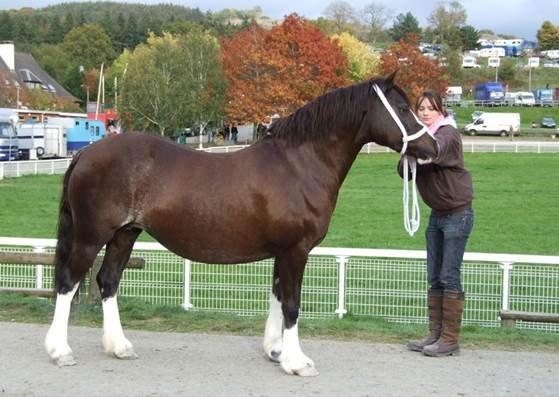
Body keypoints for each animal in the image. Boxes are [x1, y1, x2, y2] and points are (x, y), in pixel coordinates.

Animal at [44, 74, 438, 374]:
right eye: (404, 109)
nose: (432, 148)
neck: (298, 165)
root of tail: (86, 152)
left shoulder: (283, 252)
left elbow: (277, 296)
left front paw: (275, 351)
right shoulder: (296, 251)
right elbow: (292, 304)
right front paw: (297, 362)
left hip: (124, 235)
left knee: (107, 282)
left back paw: (119, 346)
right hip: (91, 236)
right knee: (68, 282)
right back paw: (60, 350)